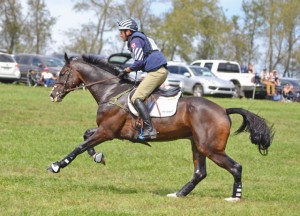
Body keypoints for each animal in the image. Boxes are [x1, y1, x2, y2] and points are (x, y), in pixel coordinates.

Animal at [48, 53, 274, 202]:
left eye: (63, 73)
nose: (52, 95)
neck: (111, 91)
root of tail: (223, 110)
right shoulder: (108, 131)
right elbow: (86, 136)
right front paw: (98, 156)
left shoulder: (107, 131)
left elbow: (79, 146)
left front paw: (57, 165)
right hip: (197, 145)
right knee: (199, 173)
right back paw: (178, 194)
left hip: (211, 148)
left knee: (236, 167)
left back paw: (235, 197)